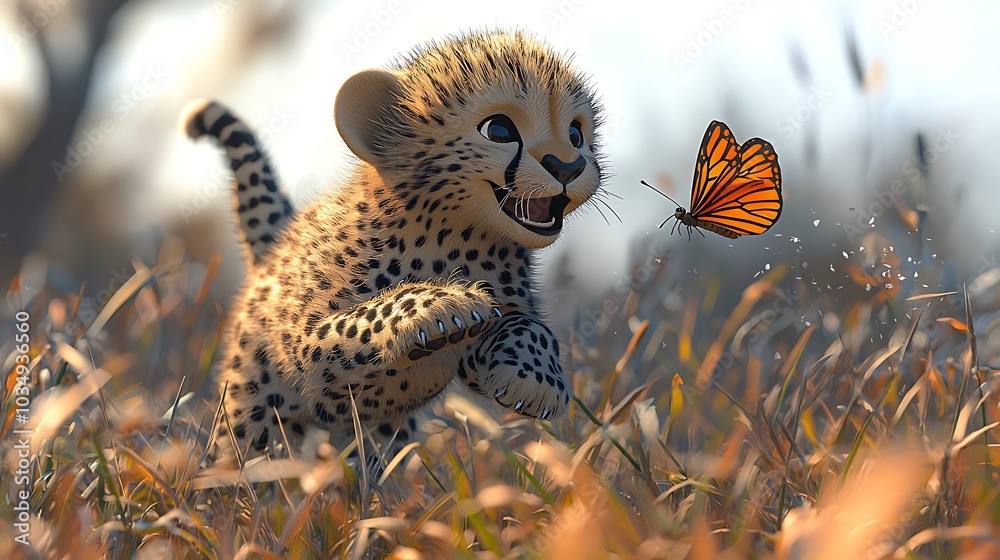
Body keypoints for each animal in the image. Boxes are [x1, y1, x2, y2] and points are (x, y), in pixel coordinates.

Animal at [182, 30, 606, 462]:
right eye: (499, 131)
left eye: (576, 134)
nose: (568, 167)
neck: (459, 234)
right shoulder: (306, 342)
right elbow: (370, 313)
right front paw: (441, 306)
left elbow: (529, 325)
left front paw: (534, 377)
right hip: (255, 408)